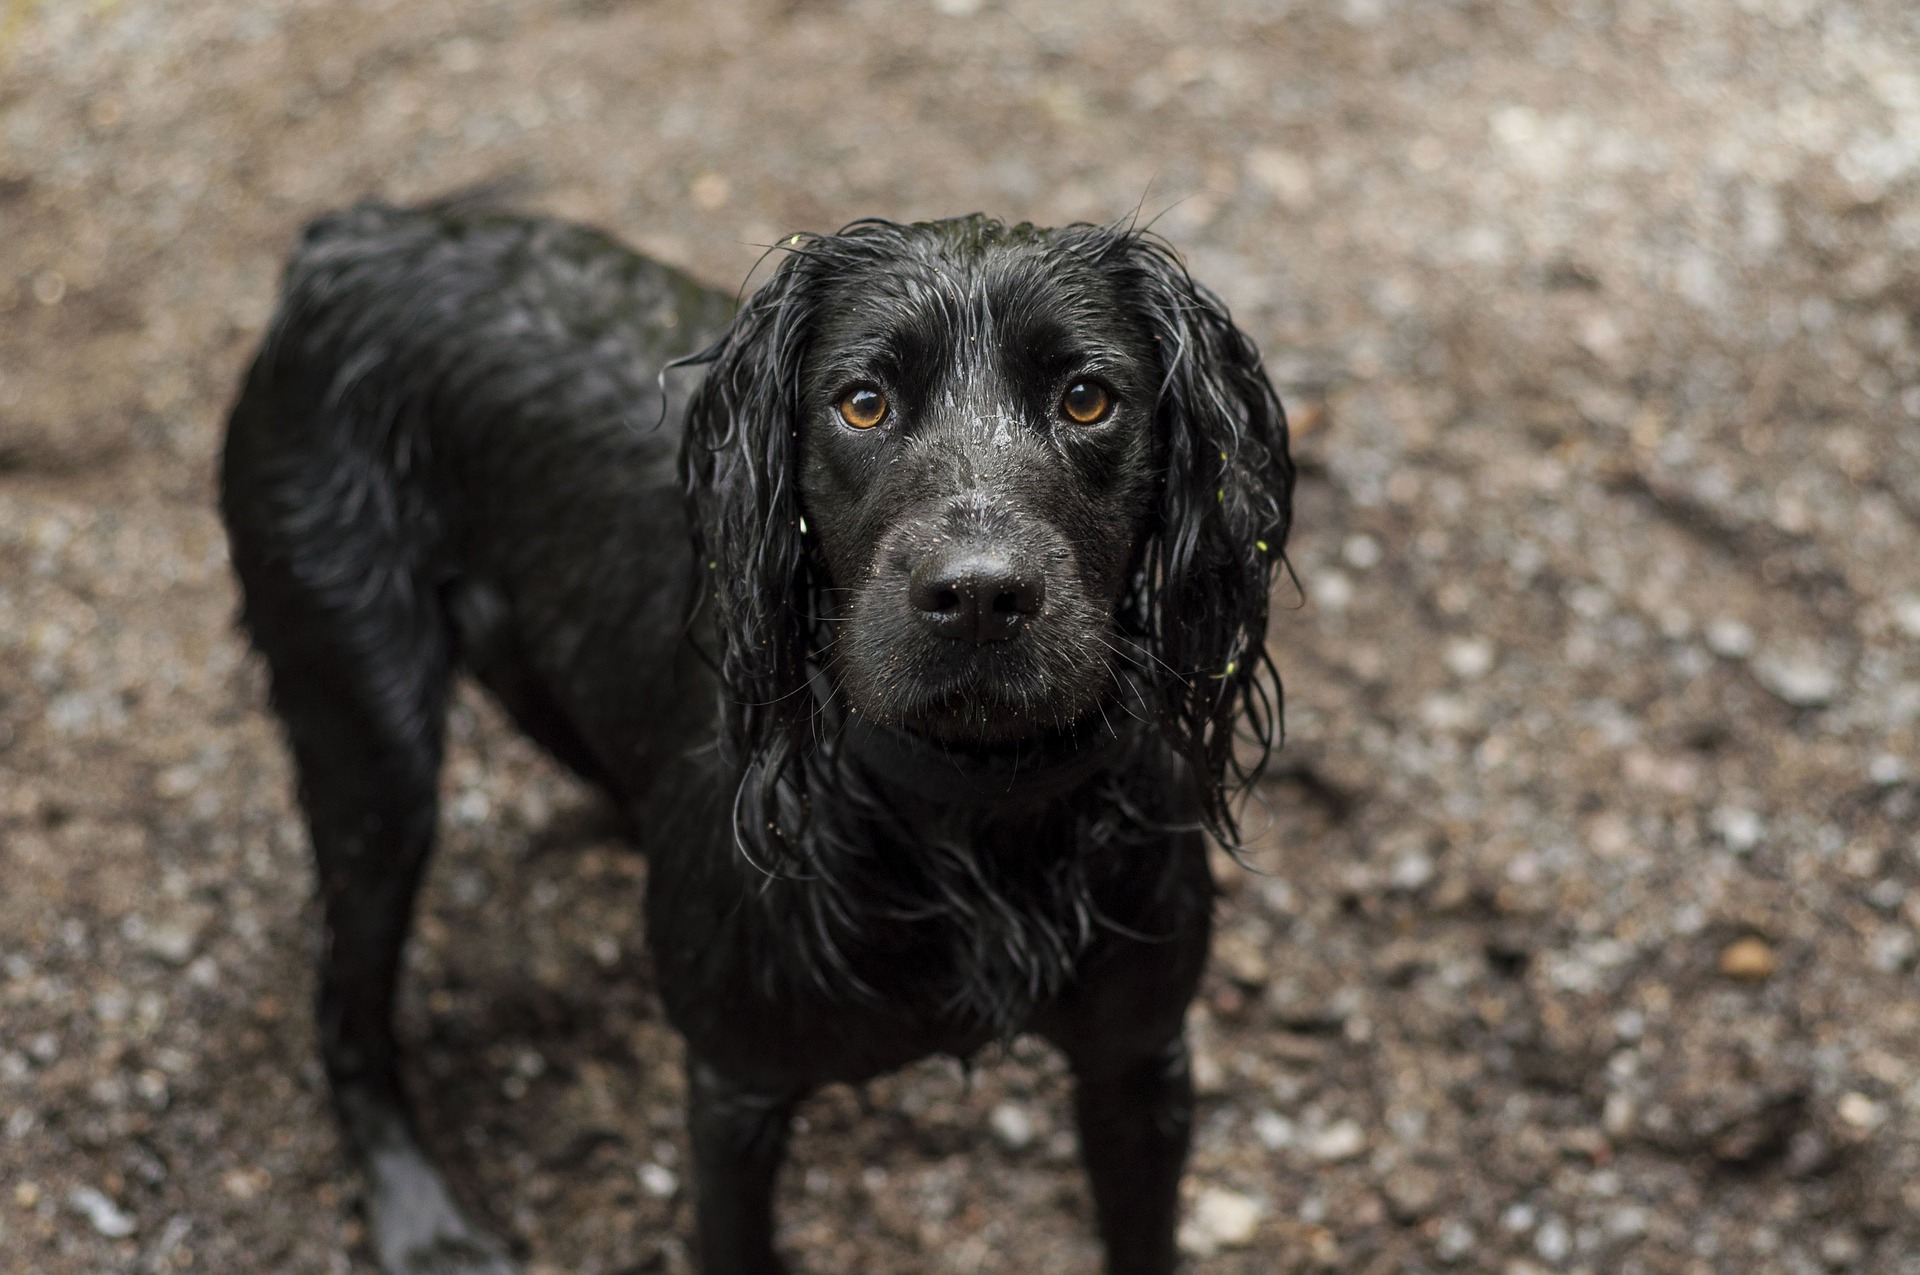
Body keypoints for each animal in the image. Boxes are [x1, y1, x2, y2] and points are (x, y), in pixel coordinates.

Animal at [217, 199, 1297, 1275]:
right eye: (861, 403)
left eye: (1085, 399)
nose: (980, 597)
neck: (971, 812)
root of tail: (354, 234)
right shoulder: (735, 1092)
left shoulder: (1140, 1062)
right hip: (371, 740)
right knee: (344, 1014)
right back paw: (421, 1218)